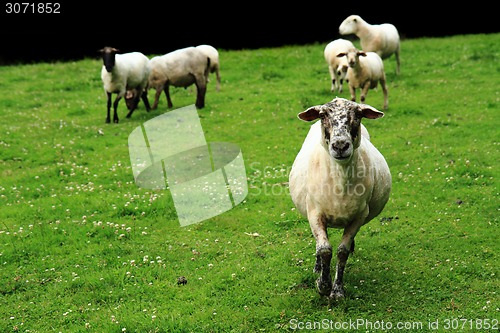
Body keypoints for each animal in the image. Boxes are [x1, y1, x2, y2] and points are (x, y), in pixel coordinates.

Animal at [288, 96, 392, 298]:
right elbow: (324, 250)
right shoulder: (315, 213)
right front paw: (323, 284)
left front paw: (337, 290)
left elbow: (342, 252)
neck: (340, 181)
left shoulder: (359, 216)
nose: (340, 145)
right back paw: (318, 267)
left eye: (358, 114)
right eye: (322, 115)